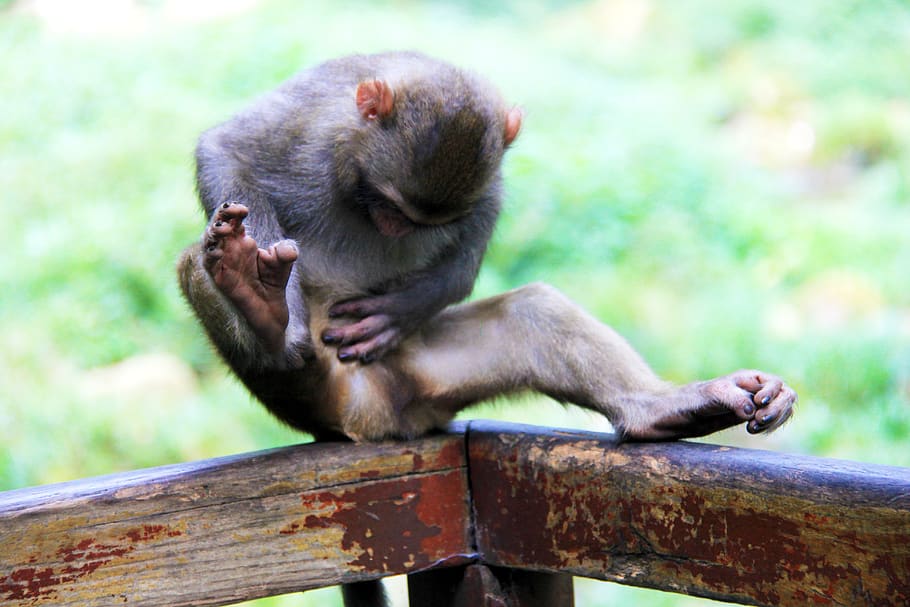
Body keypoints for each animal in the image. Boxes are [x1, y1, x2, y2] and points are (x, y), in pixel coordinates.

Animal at [177, 51, 796, 606]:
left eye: (419, 218)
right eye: (387, 203)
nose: (394, 228)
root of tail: (371, 420)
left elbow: (484, 216)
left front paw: (408, 305)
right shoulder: (311, 127)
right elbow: (226, 148)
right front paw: (272, 291)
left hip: (421, 378)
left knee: (535, 313)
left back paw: (665, 409)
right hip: (308, 389)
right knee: (200, 267)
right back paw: (263, 310)